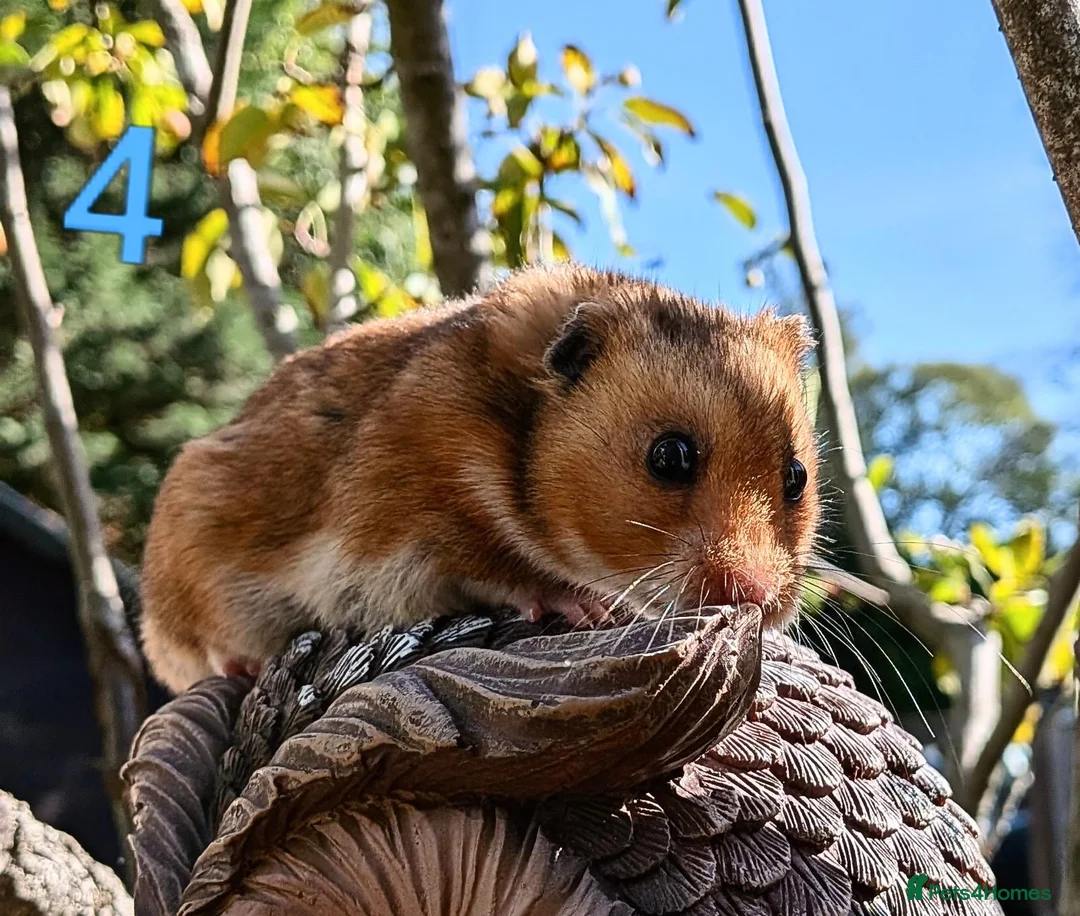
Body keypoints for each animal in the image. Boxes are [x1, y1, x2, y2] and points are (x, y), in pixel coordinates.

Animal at [140, 263, 820, 692]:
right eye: (670, 455)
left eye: (795, 475)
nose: (758, 598)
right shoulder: (415, 534)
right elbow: (498, 567)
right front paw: (591, 608)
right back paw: (244, 668)